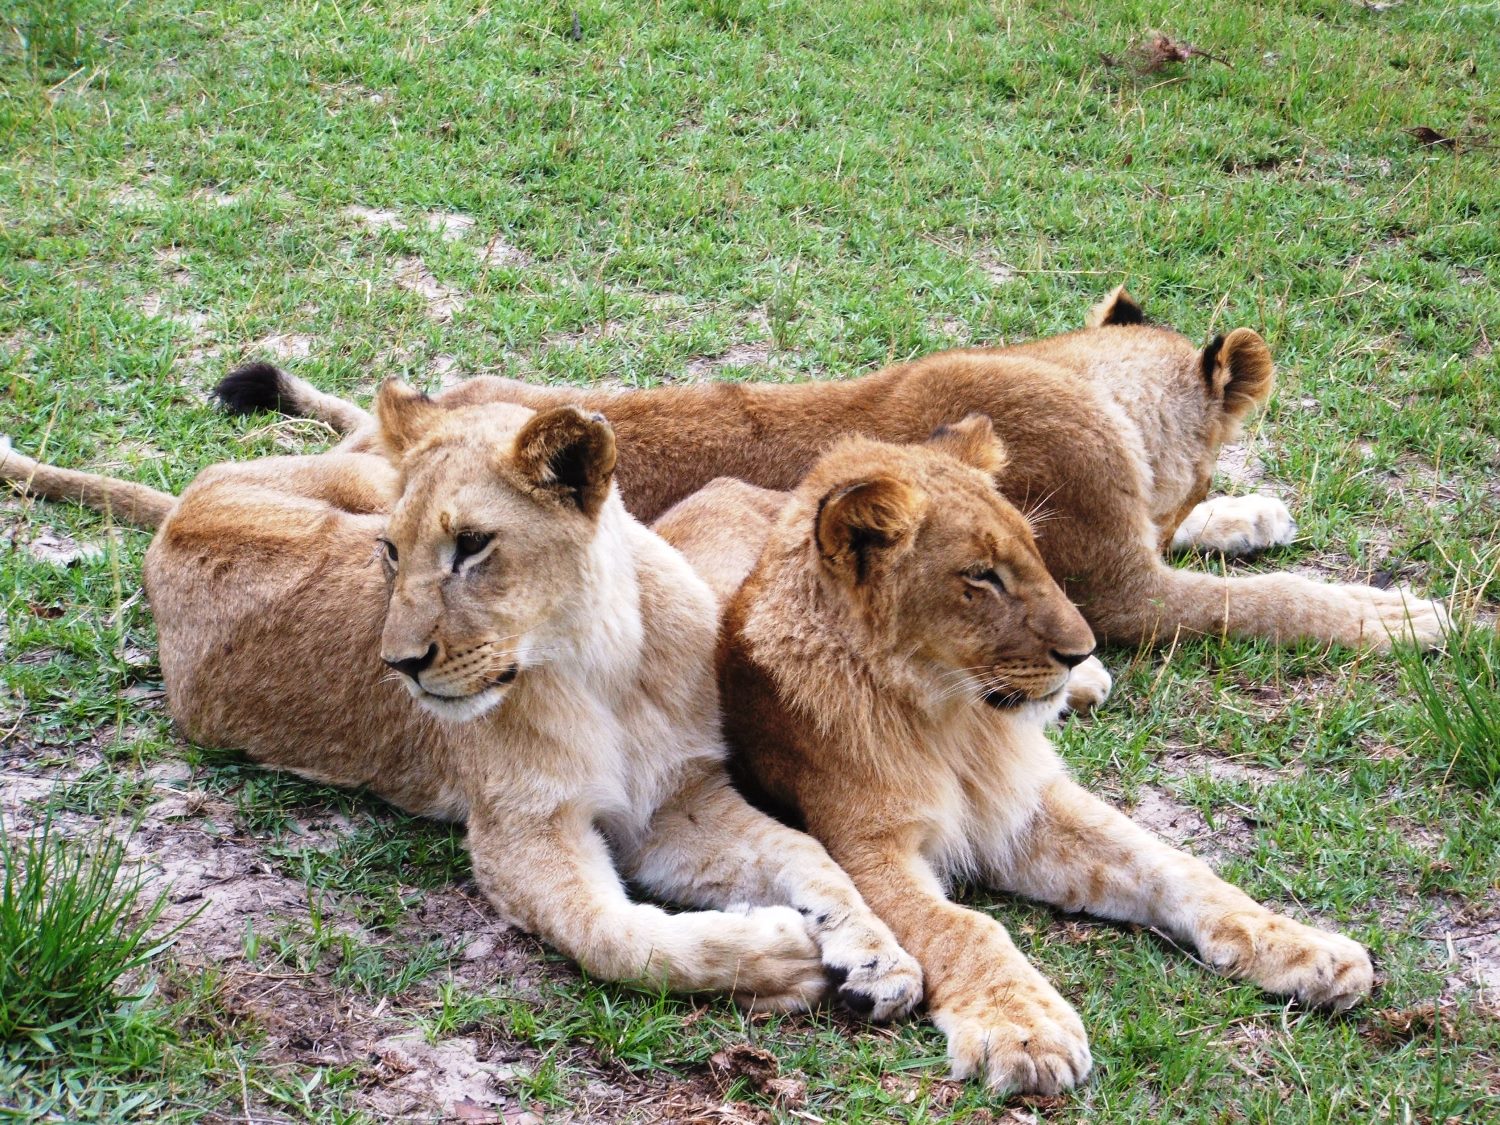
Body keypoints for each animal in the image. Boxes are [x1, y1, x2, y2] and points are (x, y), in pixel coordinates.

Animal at [0, 393, 918, 1020]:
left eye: (472, 546)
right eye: (390, 550)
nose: (399, 665)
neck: (599, 663)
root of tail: (181, 508)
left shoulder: (676, 801)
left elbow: (807, 851)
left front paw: (880, 956)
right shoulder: (523, 833)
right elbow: (620, 939)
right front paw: (780, 956)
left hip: (360, 471)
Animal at [219, 288, 1452, 660]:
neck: (1083, 381)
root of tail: (382, 434)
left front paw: (1254, 510)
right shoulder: (1116, 590)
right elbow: (1274, 603)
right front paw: (1405, 617)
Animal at [651, 414, 1374, 1092]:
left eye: (1033, 552)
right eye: (981, 577)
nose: (1080, 649)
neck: (954, 720)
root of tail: (726, 486)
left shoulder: (1028, 804)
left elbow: (1174, 866)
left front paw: (1307, 949)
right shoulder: (863, 844)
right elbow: (964, 927)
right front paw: (1025, 1029)